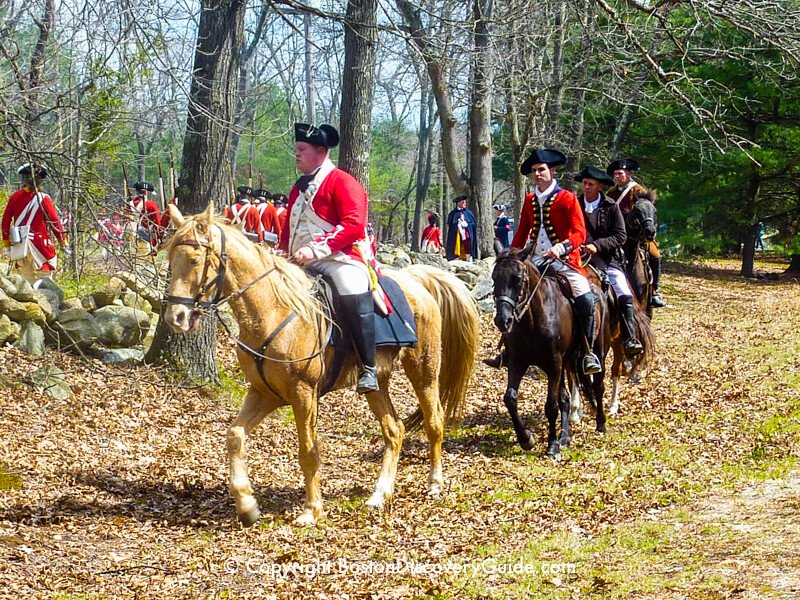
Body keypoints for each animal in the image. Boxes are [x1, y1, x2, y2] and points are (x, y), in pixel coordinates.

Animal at [159, 205, 478, 524]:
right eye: (170, 260)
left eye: (194, 260)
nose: (175, 317)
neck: (273, 311)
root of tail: (414, 280)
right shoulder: (264, 393)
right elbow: (235, 436)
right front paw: (247, 504)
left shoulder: (303, 395)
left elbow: (308, 452)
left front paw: (312, 510)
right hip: (377, 384)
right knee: (394, 430)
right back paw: (379, 494)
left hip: (424, 370)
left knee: (434, 421)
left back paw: (434, 483)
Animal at [490, 246, 608, 458]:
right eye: (495, 278)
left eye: (517, 279)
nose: (502, 320)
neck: (534, 318)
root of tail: (597, 291)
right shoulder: (518, 362)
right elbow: (510, 398)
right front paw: (526, 438)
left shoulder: (554, 364)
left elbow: (551, 406)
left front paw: (552, 446)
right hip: (567, 361)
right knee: (566, 397)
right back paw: (565, 437)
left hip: (597, 352)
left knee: (597, 386)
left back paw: (600, 423)